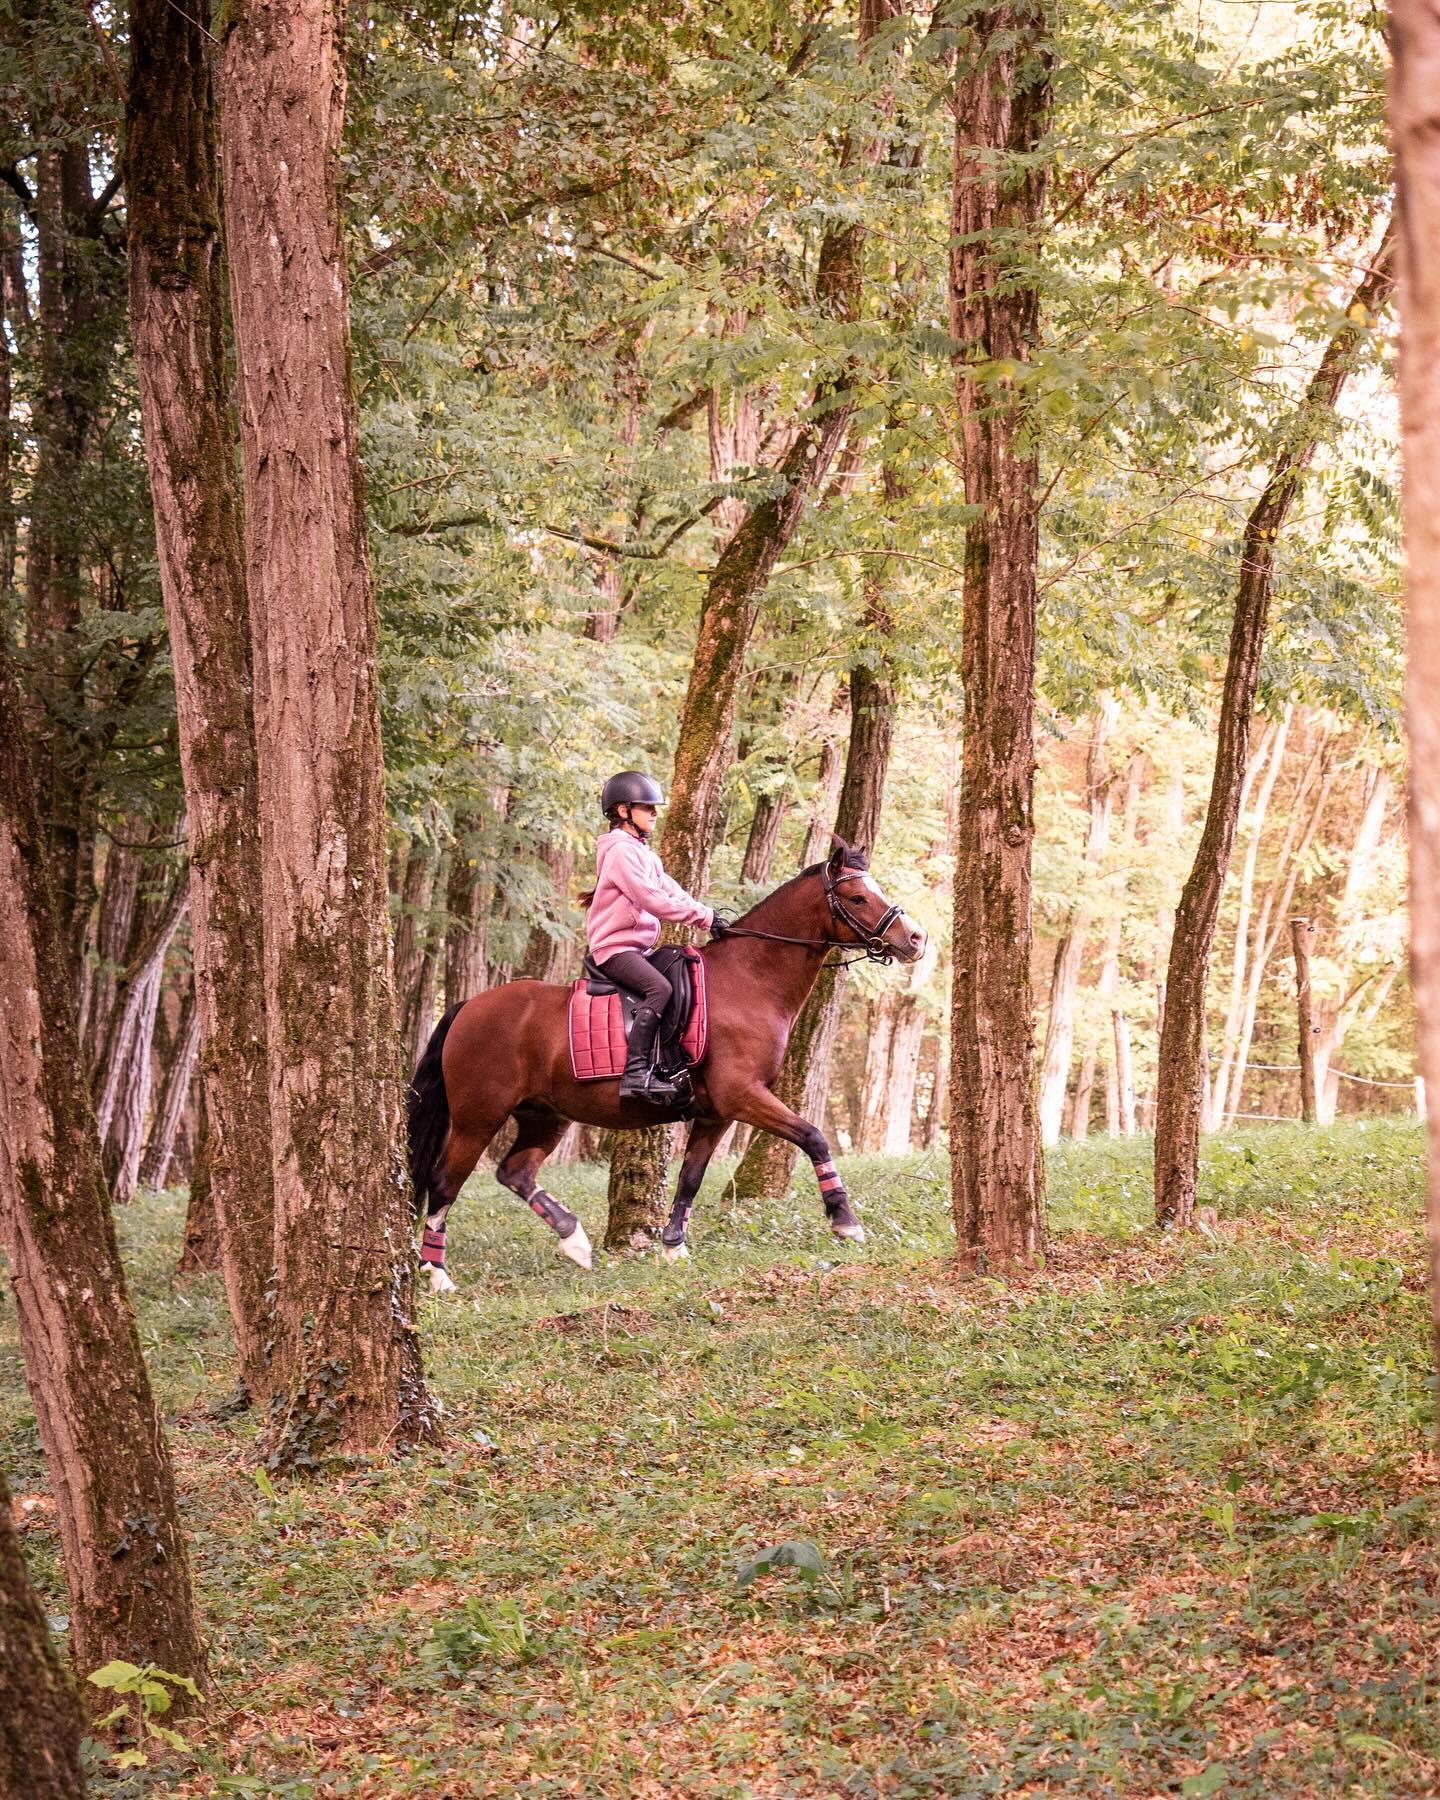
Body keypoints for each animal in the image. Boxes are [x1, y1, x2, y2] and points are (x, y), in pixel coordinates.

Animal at [399, 835, 928, 1288]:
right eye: (857, 897)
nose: (917, 939)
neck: (750, 981)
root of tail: (468, 1006)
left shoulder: (716, 1113)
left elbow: (690, 1178)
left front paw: (674, 1247)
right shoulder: (744, 1096)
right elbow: (814, 1136)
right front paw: (845, 1221)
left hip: (545, 1115)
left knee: (515, 1173)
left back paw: (574, 1241)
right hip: (479, 1117)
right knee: (444, 1184)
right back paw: (436, 1272)